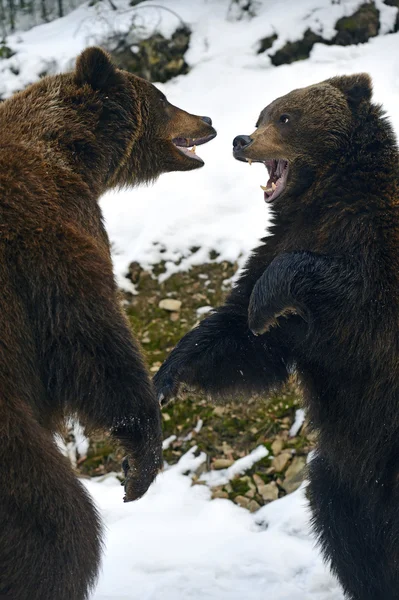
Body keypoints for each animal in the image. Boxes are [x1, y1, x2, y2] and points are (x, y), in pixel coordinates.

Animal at [0, 47, 216, 600]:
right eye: (163, 97)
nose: (207, 120)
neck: (72, 150)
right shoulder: (49, 230)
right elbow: (93, 342)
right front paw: (139, 462)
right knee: (61, 529)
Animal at [156, 76, 399, 600]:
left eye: (286, 117)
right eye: (261, 116)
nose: (241, 140)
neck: (322, 196)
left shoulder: (370, 242)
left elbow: (355, 293)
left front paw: (268, 298)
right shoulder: (280, 244)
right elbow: (240, 338)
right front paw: (165, 378)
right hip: (347, 472)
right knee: (343, 522)